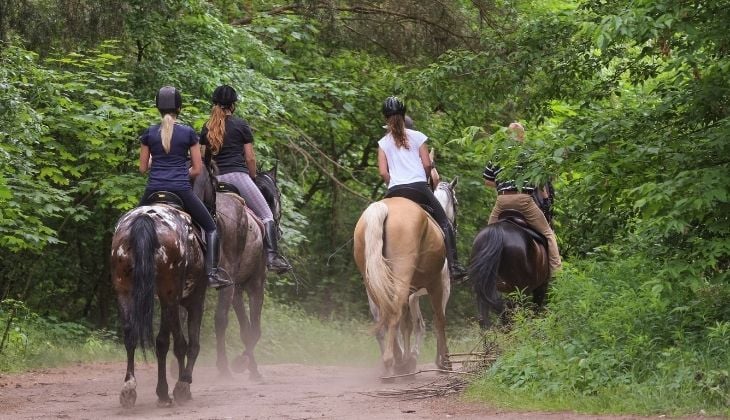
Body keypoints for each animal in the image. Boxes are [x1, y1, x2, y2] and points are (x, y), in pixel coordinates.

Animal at [109, 166, 216, 408]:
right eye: (214, 182)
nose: (213, 211)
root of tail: (144, 219)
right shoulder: (194, 299)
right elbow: (188, 343)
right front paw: (181, 386)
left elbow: (164, 342)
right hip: (170, 294)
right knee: (175, 342)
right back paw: (171, 391)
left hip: (124, 290)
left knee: (130, 335)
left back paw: (128, 390)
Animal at [208, 167, 282, 380]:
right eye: (278, 194)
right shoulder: (255, 284)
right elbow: (254, 330)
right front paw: (242, 364)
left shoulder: (238, 289)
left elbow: (245, 329)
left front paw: (251, 367)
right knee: (220, 319)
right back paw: (224, 368)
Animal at [352, 177, 456, 378]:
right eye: (456, 201)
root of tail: (382, 208)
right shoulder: (441, 286)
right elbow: (439, 320)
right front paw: (443, 362)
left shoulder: (412, 294)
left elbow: (409, 323)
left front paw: (409, 359)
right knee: (398, 315)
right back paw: (393, 362)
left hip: (373, 282)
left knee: (384, 317)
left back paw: (396, 360)